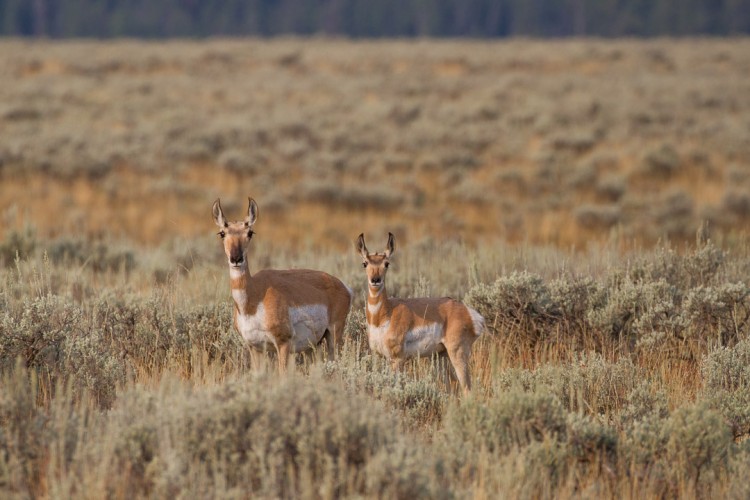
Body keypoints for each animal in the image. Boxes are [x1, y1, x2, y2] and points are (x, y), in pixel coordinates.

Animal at [212, 198, 352, 372]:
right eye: (222, 233)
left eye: (250, 233)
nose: (236, 258)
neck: (254, 298)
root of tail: (343, 286)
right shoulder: (254, 347)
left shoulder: (283, 344)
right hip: (313, 346)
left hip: (333, 335)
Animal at [358, 232, 488, 392]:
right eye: (365, 263)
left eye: (386, 263)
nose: (375, 280)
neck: (385, 314)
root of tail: (468, 312)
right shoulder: (377, 357)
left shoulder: (397, 360)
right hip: (441, 357)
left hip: (458, 353)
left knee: (467, 388)